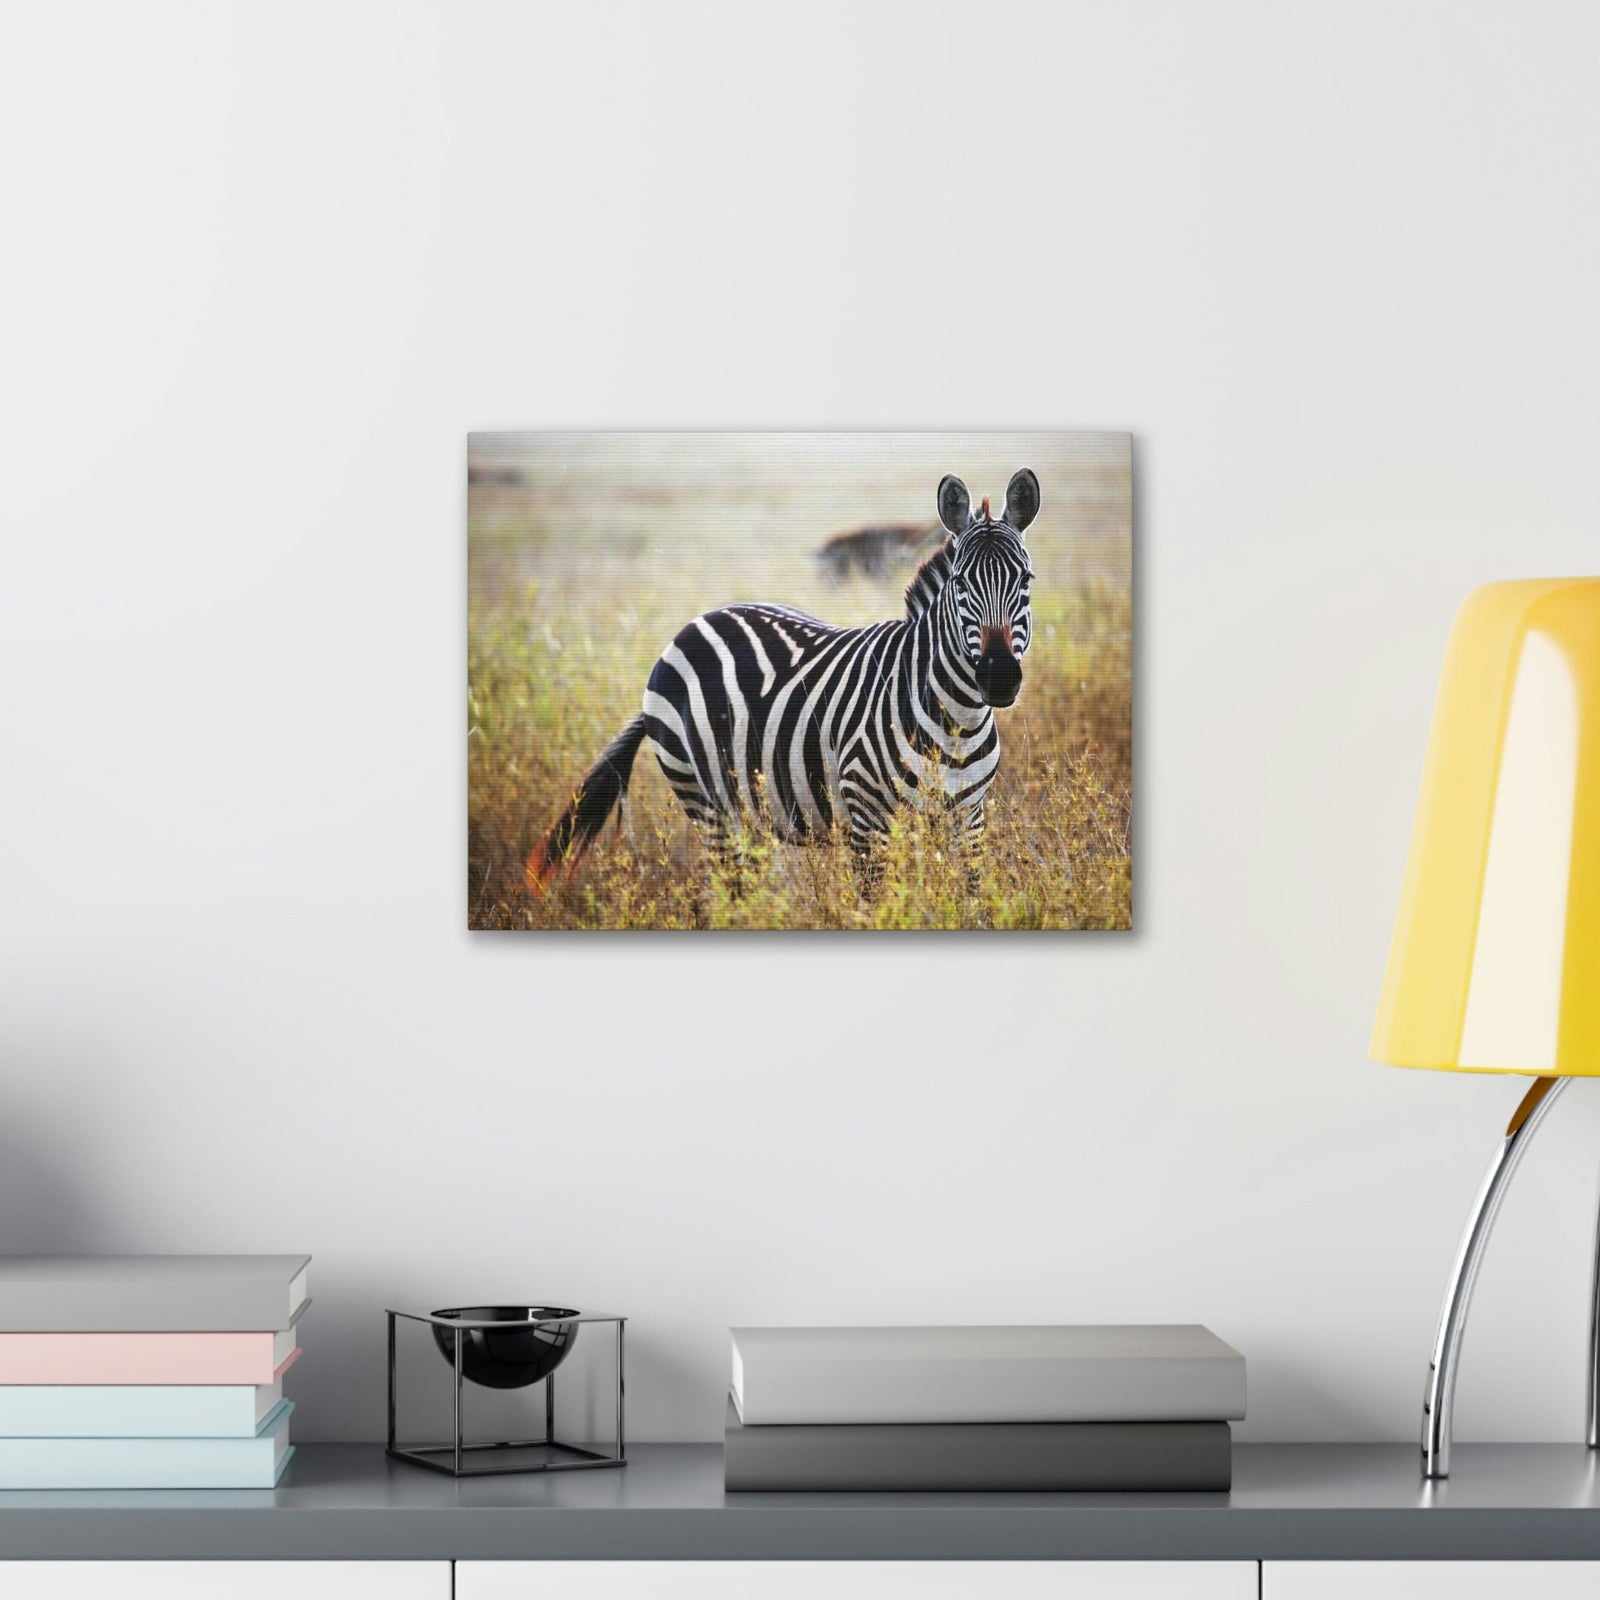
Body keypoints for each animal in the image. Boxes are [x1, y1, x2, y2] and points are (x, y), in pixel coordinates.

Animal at [526, 468, 1040, 888]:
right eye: (961, 583)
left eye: (1026, 581)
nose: (998, 678)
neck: (956, 722)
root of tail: (694, 624)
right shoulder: (867, 820)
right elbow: (880, 905)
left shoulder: (969, 820)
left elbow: (967, 899)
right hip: (707, 805)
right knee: (731, 894)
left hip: (750, 810)